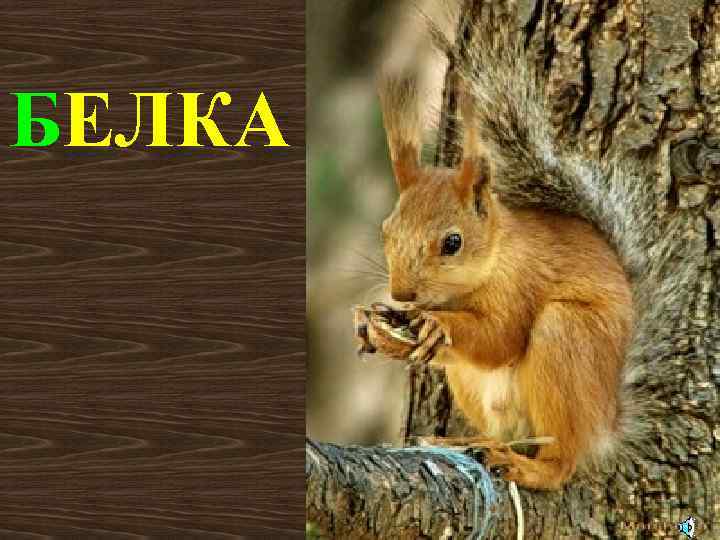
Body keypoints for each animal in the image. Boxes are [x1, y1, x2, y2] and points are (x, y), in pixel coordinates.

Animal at [371, 24, 684, 491]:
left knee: (560, 462)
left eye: (452, 243)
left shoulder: (523, 283)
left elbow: (499, 338)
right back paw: (467, 443)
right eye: (386, 232)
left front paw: (436, 325)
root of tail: (605, 426)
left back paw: (529, 467)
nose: (402, 294)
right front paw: (382, 331)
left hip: (567, 337)